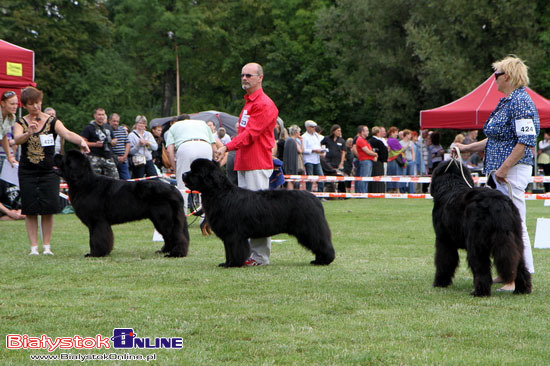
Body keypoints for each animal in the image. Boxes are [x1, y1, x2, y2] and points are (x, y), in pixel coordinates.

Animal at [54, 151, 191, 258]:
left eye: (65, 158)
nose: (55, 154)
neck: (84, 182)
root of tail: (174, 190)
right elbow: (94, 237)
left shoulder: (97, 221)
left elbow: (96, 238)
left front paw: (95, 254)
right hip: (159, 219)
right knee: (169, 235)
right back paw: (164, 250)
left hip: (164, 218)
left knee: (176, 235)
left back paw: (176, 254)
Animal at [182, 159, 336, 268]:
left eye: (196, 171)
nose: (183, 174)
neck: (220, 193)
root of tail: (315, 198)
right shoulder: (229, 235)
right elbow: (228, 250)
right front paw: (226, 263)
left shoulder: (233, 235)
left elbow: (234, 250)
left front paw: (233, 264)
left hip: (308, 229)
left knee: (321, 243)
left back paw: (323, 261)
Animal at [434, 160, 532, 298]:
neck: (451, 185)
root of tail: (498, 203)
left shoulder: (443, 240)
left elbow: (444, 261)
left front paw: (440, 282)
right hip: (516, 238)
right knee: (520, 264)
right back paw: (522, 289)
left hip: (476, 244)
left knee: (481, 268)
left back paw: (479, 292)